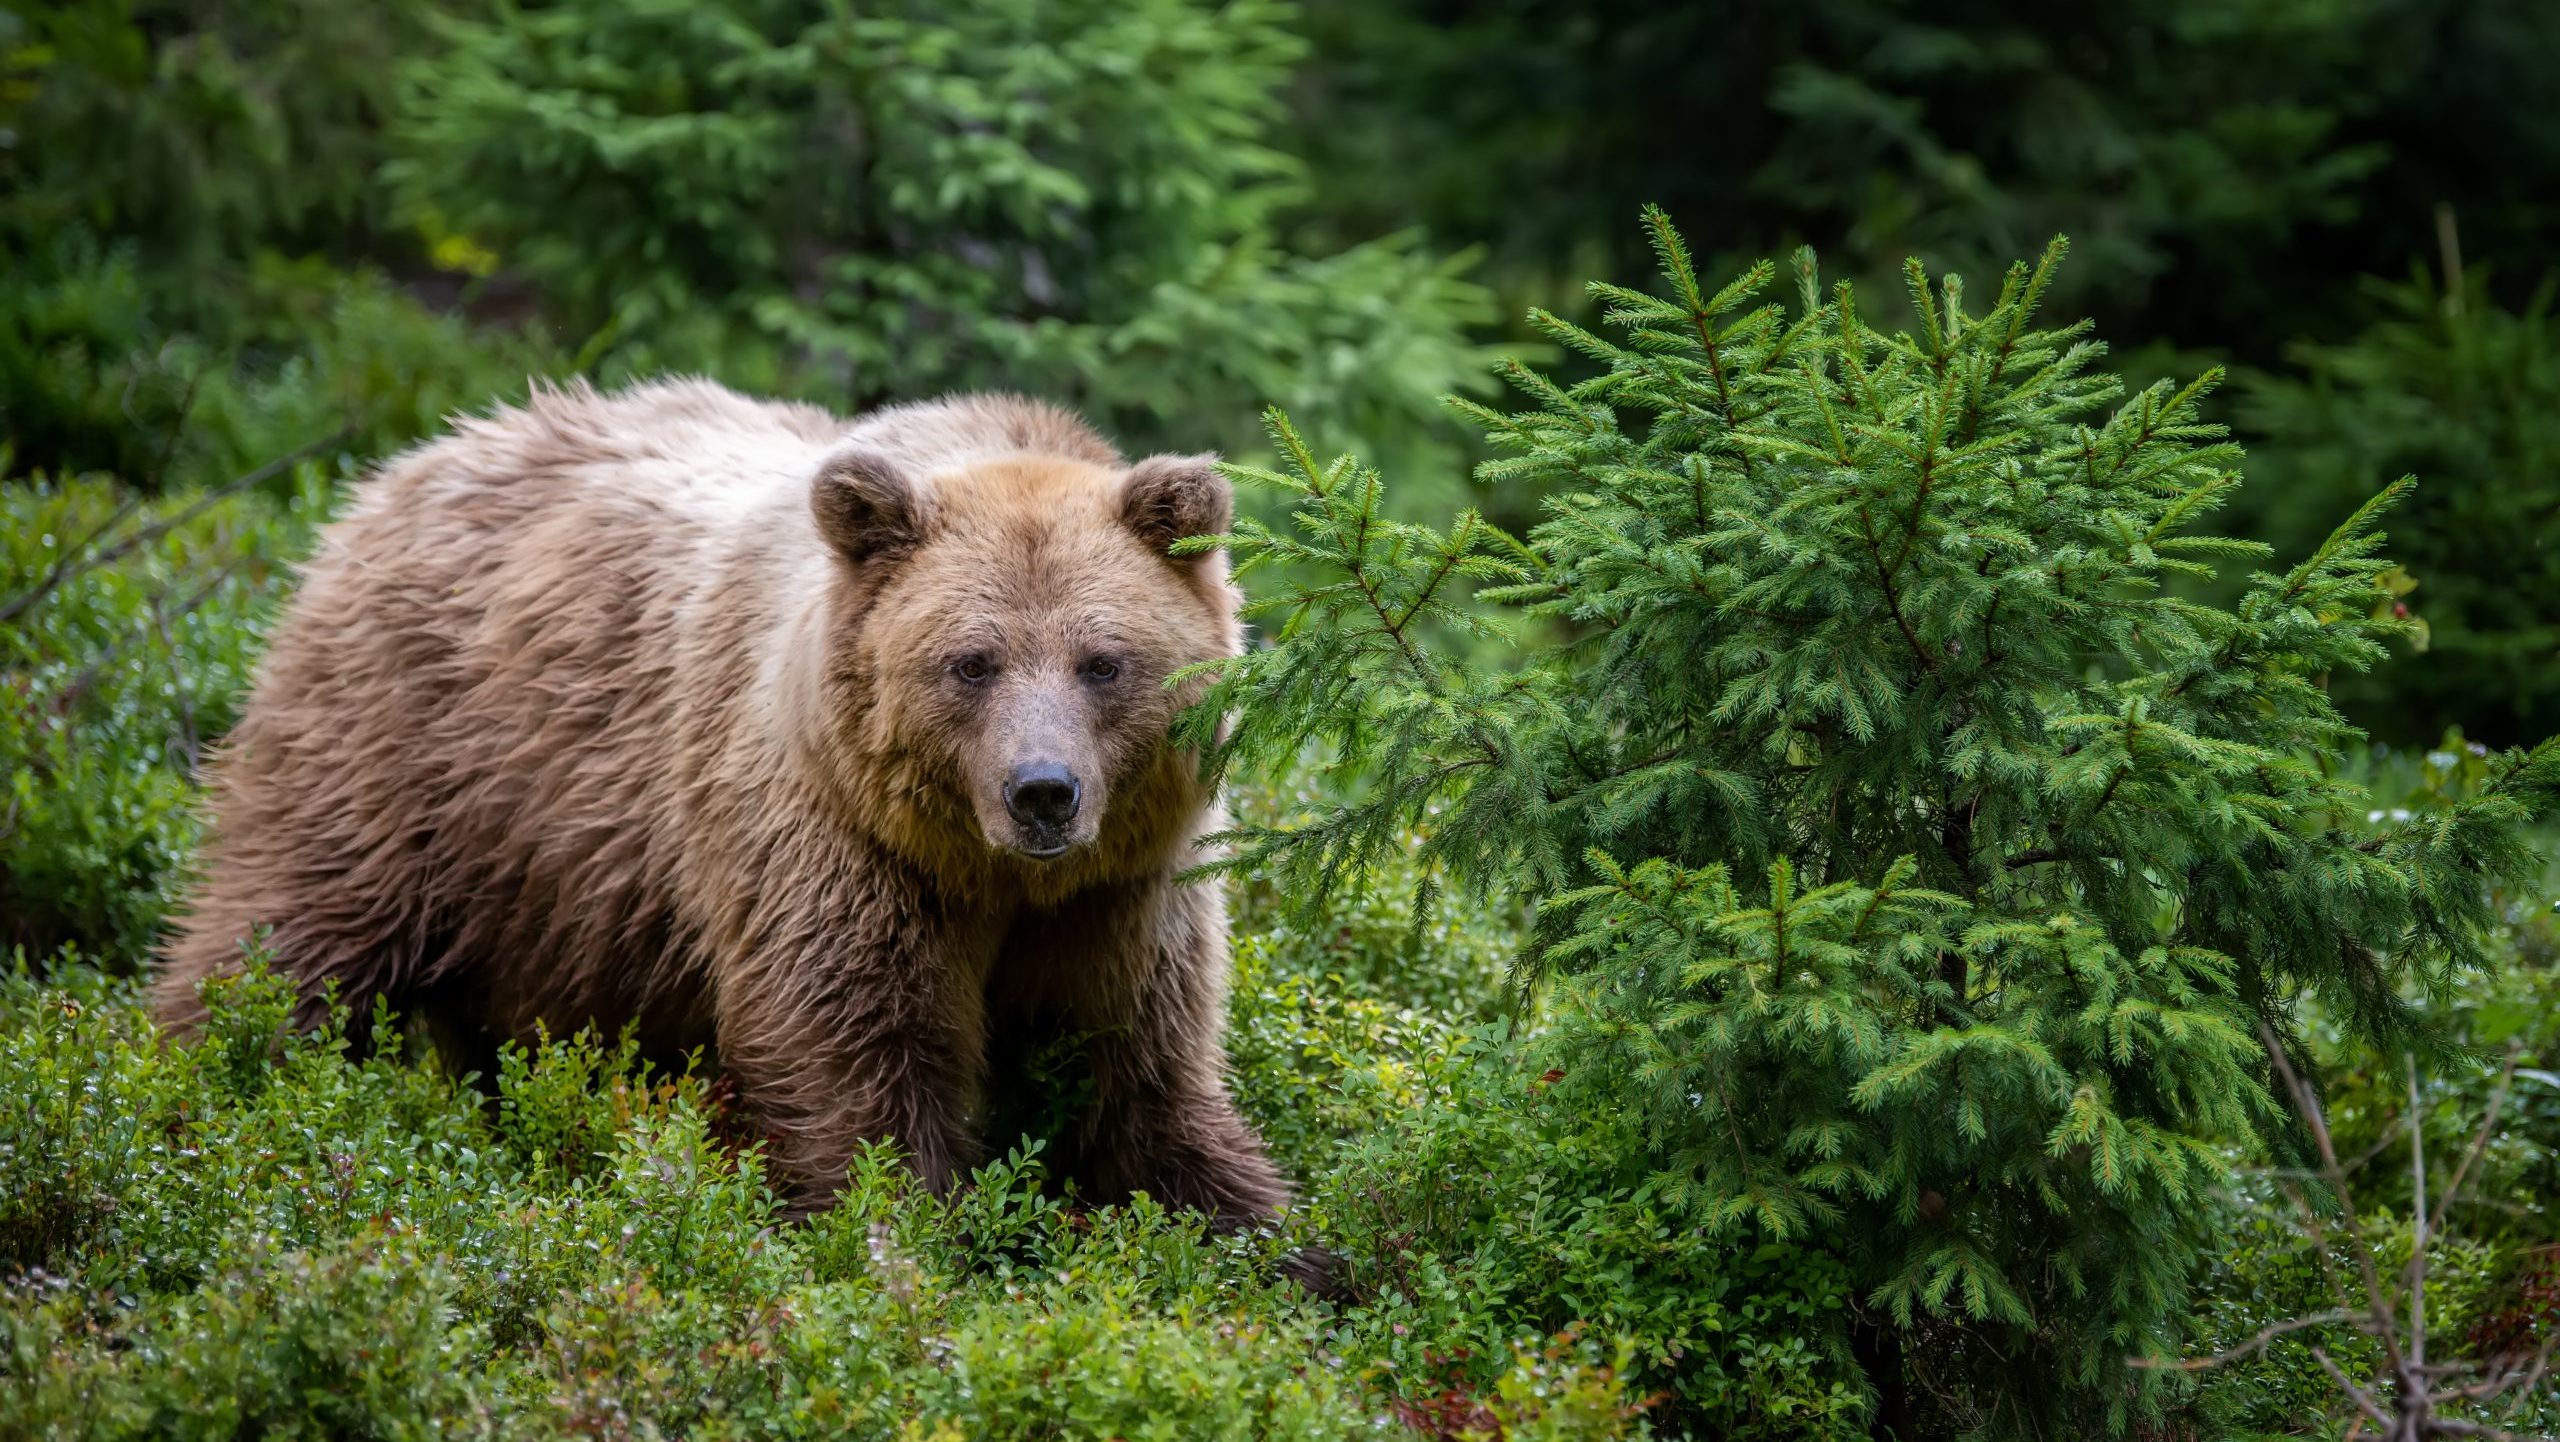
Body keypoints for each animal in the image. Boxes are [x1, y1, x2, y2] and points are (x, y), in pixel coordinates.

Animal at [154, 378, 1289, 1223]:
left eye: (1104, 661)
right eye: (971, 662)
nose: (1042, 793)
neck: (987, 874)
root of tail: (406, 464)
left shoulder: (1127, 890)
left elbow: (1140, 1073)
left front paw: (1267, 1235)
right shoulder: (832, 843)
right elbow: (854, 1058)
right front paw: (900, 1235)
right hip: (409, 756)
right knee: (287, 933)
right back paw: (200, 1087)